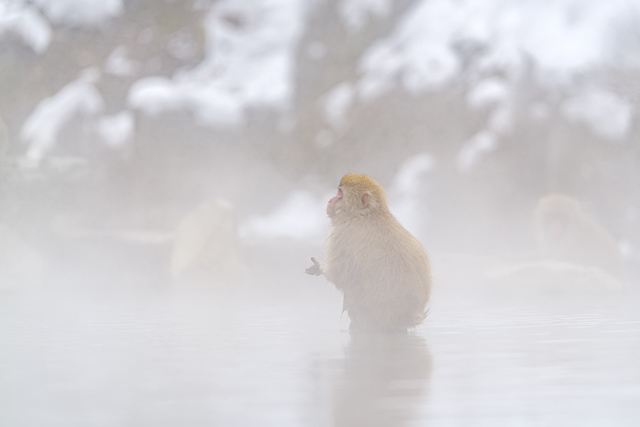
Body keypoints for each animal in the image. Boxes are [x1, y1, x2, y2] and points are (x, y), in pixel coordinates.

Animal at [306, 173, 432, 332]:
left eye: (340, 193)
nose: (330, 200)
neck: (367, 215)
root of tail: (406, 319)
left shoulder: (342, 235)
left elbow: (338, 274)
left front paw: (320, 267)